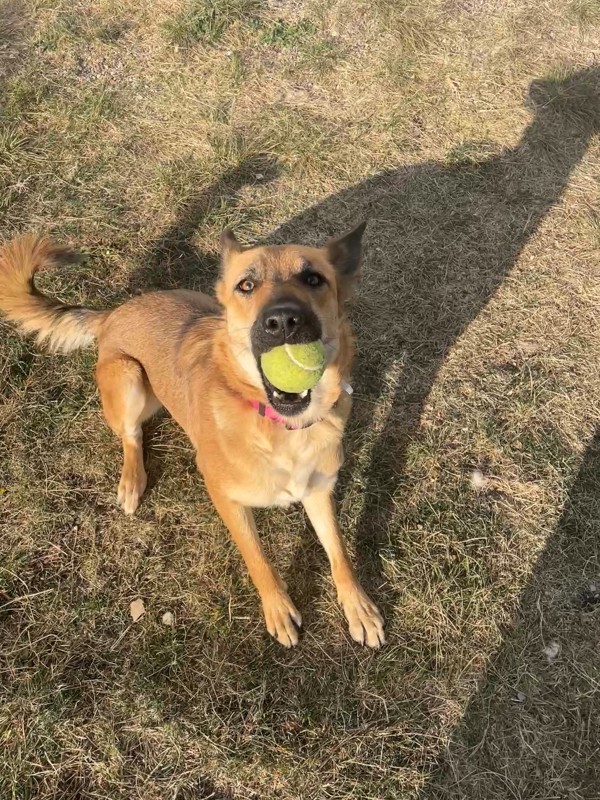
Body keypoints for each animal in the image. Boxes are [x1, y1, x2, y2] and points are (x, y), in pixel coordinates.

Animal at [0, 228, 384, 648]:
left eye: (313, 279)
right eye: (246, 285)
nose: (283, 321)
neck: (278, 428)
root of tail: (114, 312)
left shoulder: (318, 491)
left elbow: (339, 552)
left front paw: (358, 607)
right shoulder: (224, 496)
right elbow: (258, 559)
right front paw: (278, 608)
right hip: (129, 377)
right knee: (131, 436)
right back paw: (132, 481)